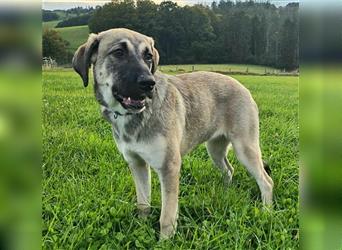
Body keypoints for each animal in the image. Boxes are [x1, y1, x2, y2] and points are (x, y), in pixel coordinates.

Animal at [73, 28, 274, 239]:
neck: (136, 117)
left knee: (266, 181)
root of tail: (244, 88)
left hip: (245, 148)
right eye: (118, 52)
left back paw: (266, 213)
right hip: (215, 149)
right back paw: (226, 192)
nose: (149, 83)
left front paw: (164, 240)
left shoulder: (169, 167)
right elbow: (143, 203)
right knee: (229, 169)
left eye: (148, 56)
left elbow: (167, 216)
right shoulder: (137, 164)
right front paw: (142, 227)